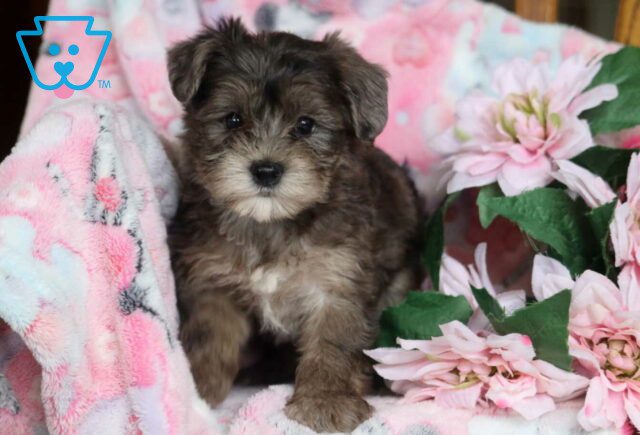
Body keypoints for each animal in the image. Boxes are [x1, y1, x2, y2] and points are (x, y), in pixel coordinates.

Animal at [168, 18, 422, 434]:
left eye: (306, 125)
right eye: (233, 119)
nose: (266, 170)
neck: (270, 222)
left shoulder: (336, 284)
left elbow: (333, 344)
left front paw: (326, 399)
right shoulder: (212, 283)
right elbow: (210, 335)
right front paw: (199, 389)